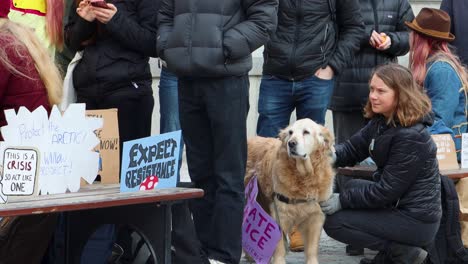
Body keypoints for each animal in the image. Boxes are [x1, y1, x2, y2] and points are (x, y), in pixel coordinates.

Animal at [245, 118, 336, 262]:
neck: (304, 176)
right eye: (290, 132)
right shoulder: (279, 215)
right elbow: (280, 248)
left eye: (306, 132)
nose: (291, 143)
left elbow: (311, 249)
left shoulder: (315, 217)